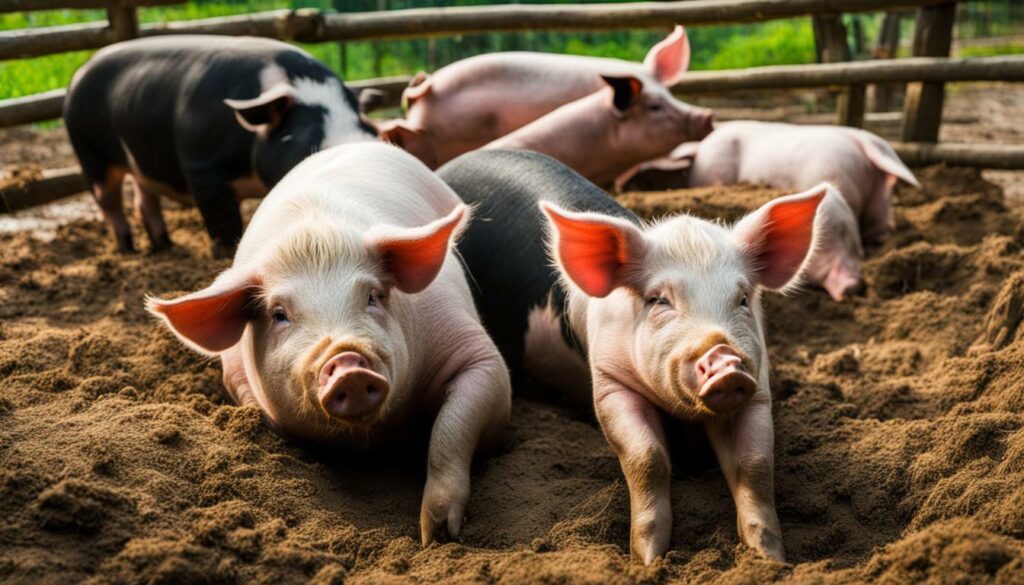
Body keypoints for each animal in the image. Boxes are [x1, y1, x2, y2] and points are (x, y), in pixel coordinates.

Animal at [64, 35, 378, 258]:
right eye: (307, 143)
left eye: (372, 131)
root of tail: (81, 71)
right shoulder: (203, 170)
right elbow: (225, 226)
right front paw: (224, 256)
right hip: (89, 152)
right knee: (109, 200)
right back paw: (127, 250)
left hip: (139, 160)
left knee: (143, 198)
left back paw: (165, 246)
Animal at [147, 142, 512, 544]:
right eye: (279, 314)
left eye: (373, 296)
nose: (348, 363)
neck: (370, 438)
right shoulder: (238, 378)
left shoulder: (475, 352)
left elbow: (451, 429)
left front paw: (437, 535)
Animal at [440, 149, 827, 564]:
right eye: (660, 300)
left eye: (741, 299)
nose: (724, 358)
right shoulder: (609, 382)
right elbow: (647, 456)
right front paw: (648, 559)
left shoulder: (757, 386)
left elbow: (754, 464)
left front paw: (771, 559)